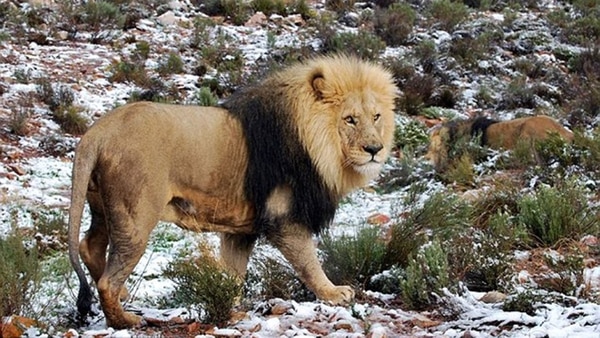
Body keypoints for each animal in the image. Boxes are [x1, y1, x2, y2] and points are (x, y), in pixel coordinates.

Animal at [68, 54, 398, 328]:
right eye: (350, 119)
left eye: (376, 117)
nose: (374, 149)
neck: (318, 145)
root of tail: (97, 132)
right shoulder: (284, 217)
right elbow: (308, 261)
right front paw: (333, 292)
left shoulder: (241, 231)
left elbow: (232, 273)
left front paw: (230, 304)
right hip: (136, 215)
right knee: (107, 281)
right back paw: (125, 320)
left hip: (103, 208)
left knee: (89, 246)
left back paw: (123, 296)